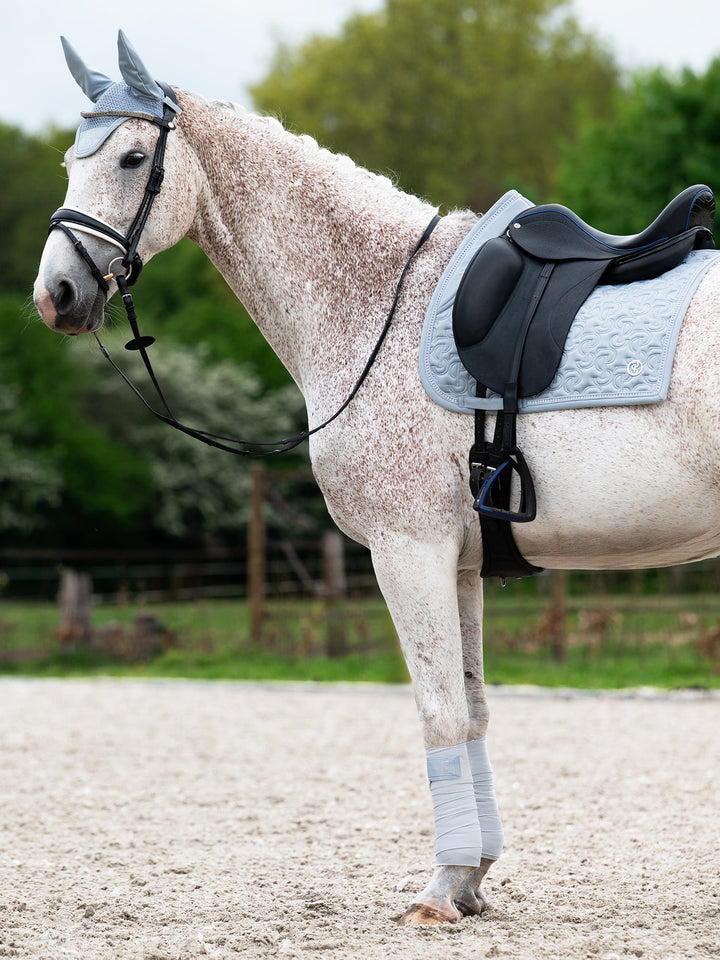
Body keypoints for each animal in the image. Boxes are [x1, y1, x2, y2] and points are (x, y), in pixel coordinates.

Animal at [34, 33, 720, 926]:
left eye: (132, 156)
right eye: (69, 162)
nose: (57, 294)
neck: (376, 302)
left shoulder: (408, 551)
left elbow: (438, 711)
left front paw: (441, 888)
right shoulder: (460, 564)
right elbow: (472, 708)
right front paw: (473, 879)